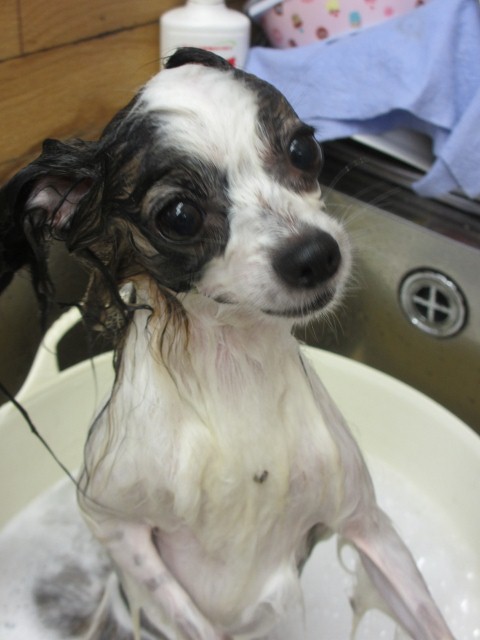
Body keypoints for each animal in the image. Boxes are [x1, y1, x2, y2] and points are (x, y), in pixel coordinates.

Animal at [0, 48, 454, 639]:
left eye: (303, 148)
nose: (314, 255)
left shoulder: (364, 520)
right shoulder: (113, 523)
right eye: (179, 215)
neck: (233, 375)